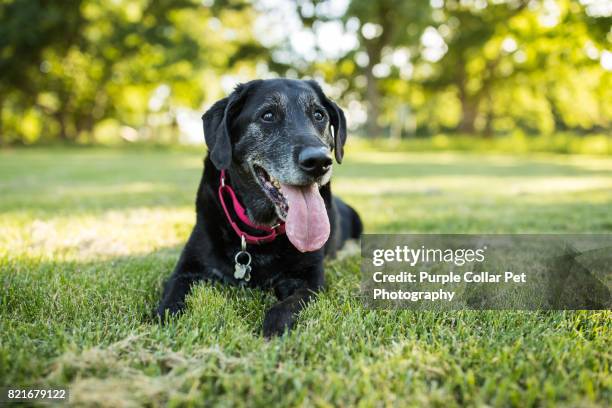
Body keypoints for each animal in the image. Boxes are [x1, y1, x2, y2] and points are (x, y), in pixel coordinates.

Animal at [155, 78, 360, 336]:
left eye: (319, 115)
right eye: (268, 115)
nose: (319, 162)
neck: (258, 230)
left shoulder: (310, 281)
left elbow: (285, 307)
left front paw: (272, 331)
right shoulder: (186, 270)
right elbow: (171, 301)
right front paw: (167, 321)